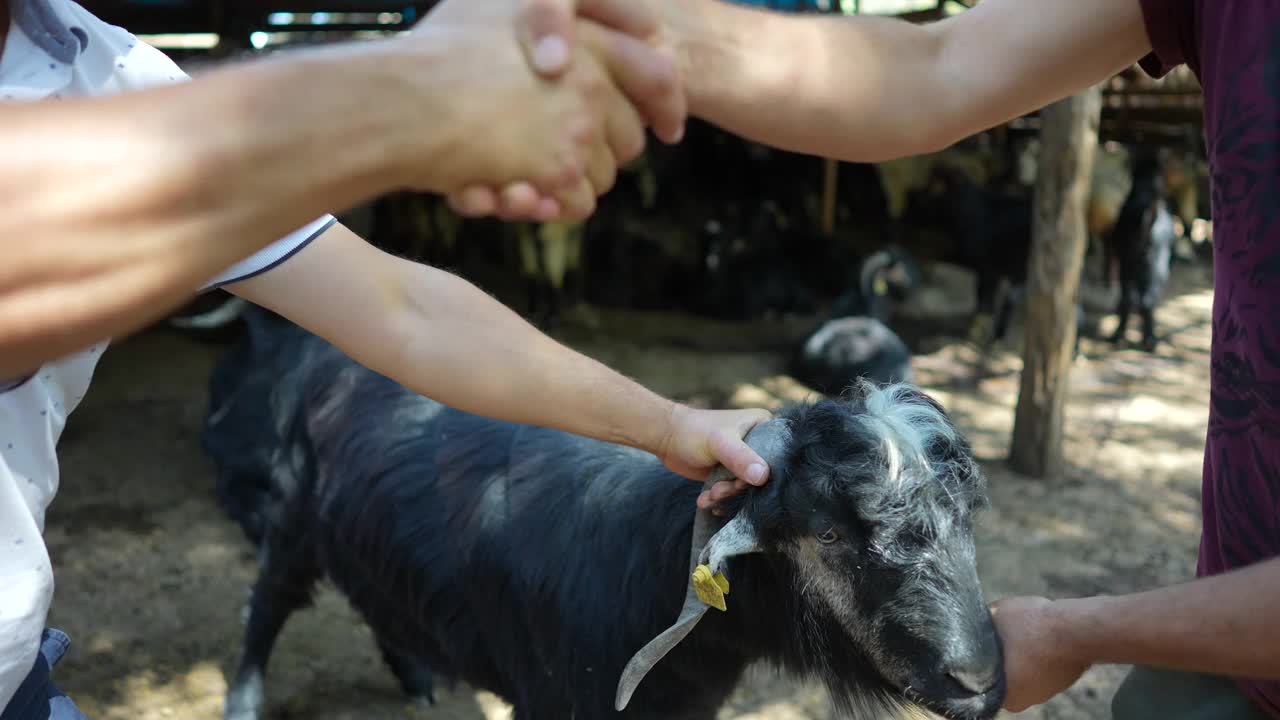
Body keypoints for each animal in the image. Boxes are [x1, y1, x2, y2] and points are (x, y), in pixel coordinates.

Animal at [207, 304, 1008, 717]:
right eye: (829, 532)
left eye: (967, 518)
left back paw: (416, 678)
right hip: (291, 526)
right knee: (264, 605)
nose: (977, 683)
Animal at [1105, 151, 1172, 353]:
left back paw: (1119, 336)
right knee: (1145, 300)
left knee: (1130, 299)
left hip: (1130, 265)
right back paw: (1148, 340)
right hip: (1151, 266)